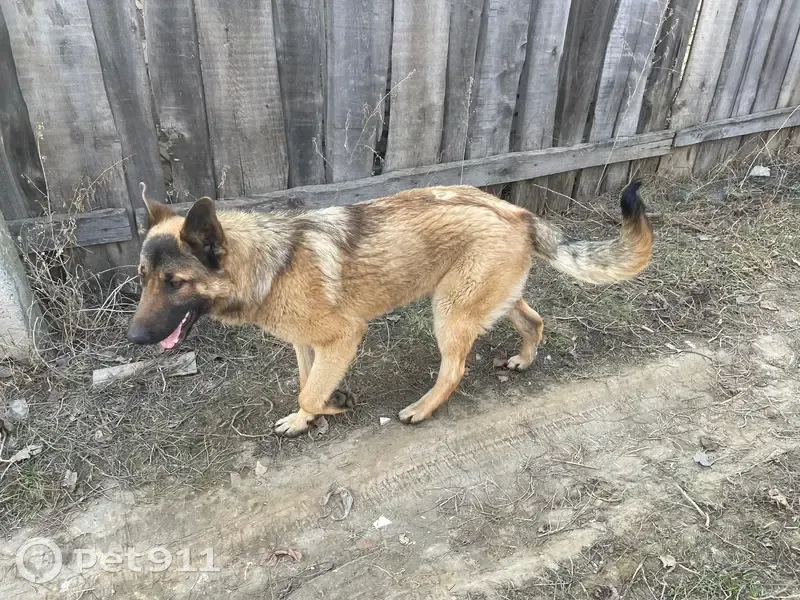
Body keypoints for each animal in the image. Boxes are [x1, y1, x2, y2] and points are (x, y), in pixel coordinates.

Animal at [128, 182, 652, 437]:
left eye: (175, 283)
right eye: (142, 277)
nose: (133, 339)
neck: (271, 264)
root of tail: (518, 213)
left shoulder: (343, 338)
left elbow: (311, 392)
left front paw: (326, 408)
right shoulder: (306, 344)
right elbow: (306, 385)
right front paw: (307, 419)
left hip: (449, 311)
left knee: (454, 370)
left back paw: (422, 409)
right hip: (487, 300)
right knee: (533, 320)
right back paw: (524, 359)